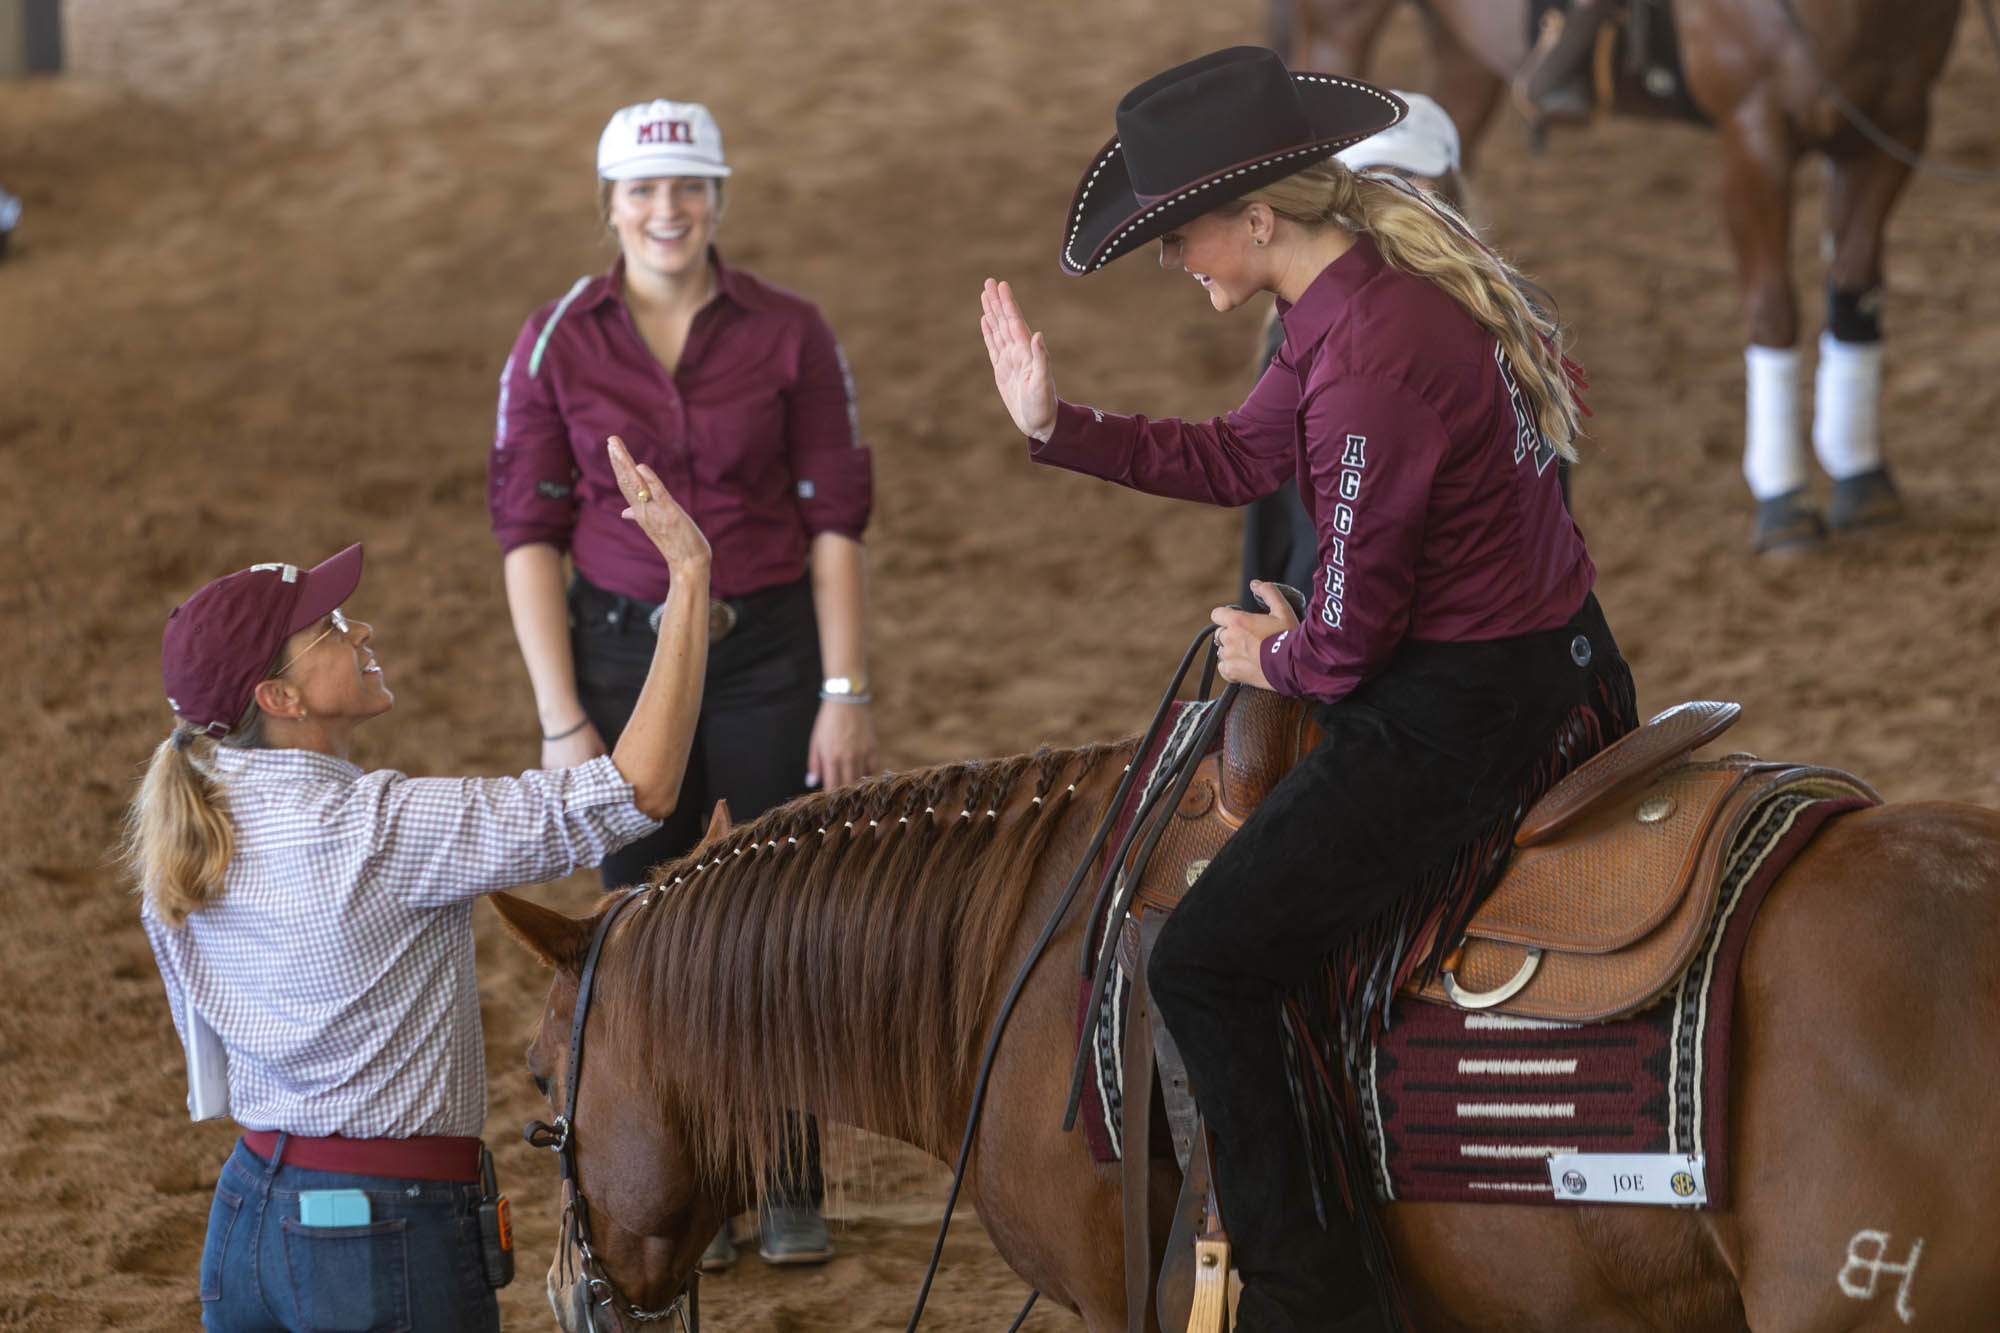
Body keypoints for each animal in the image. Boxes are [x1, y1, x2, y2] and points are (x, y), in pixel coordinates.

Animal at [1264, 0, 1968, 544]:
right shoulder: (1754, 129)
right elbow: (1774, 307)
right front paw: (1783, 504)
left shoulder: (1895, 123)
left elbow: (1857, 288)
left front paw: (1864, 479)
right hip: (1338, 23)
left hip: (1462, 49)